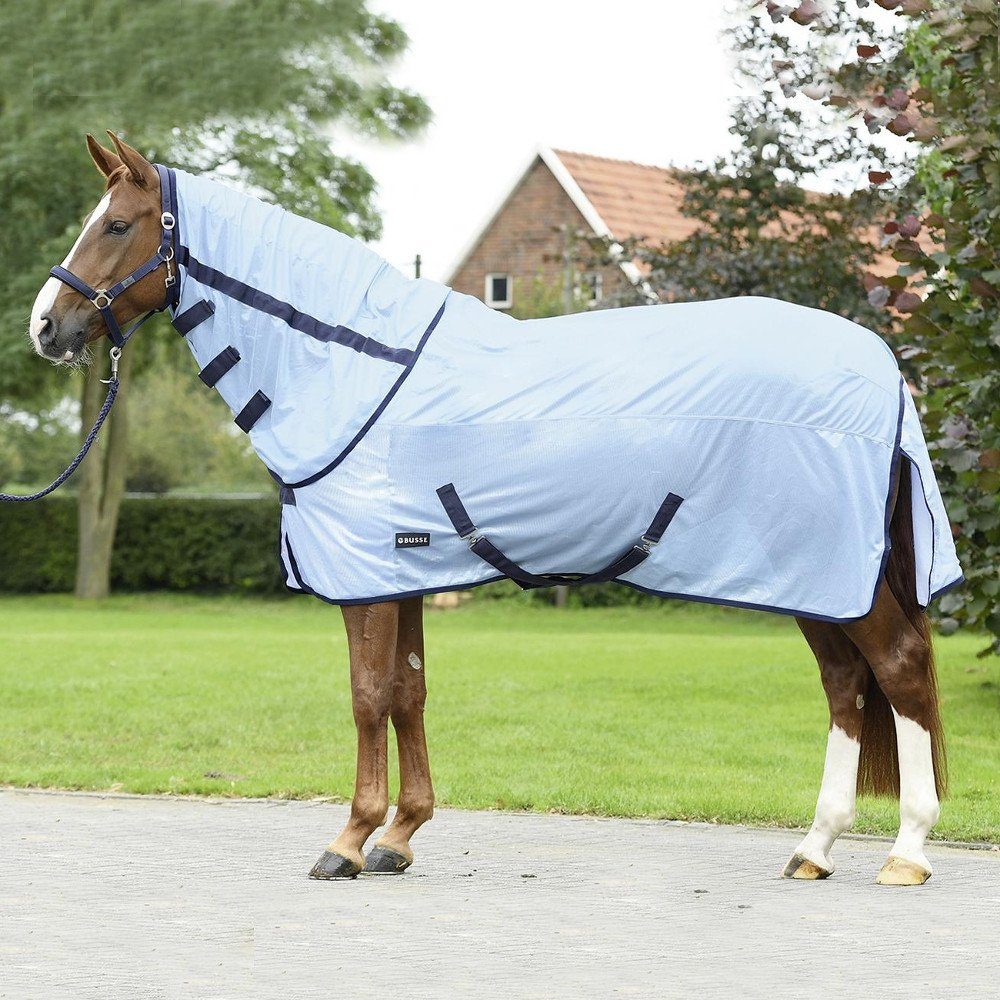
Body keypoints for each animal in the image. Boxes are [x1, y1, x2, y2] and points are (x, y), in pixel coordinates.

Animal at [27, 132, 961, 886]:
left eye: (117, 225)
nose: (45, 326)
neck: (357, 369)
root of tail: (883, 366)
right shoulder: (404, 572)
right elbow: (409, 692)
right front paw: (399, 837)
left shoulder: (367, 578)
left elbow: (367, 695)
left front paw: (349, 839)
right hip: (810, 577)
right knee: (847, 684)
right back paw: (815, 849)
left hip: (836, 573)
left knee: (899, 667)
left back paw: (907, 852)